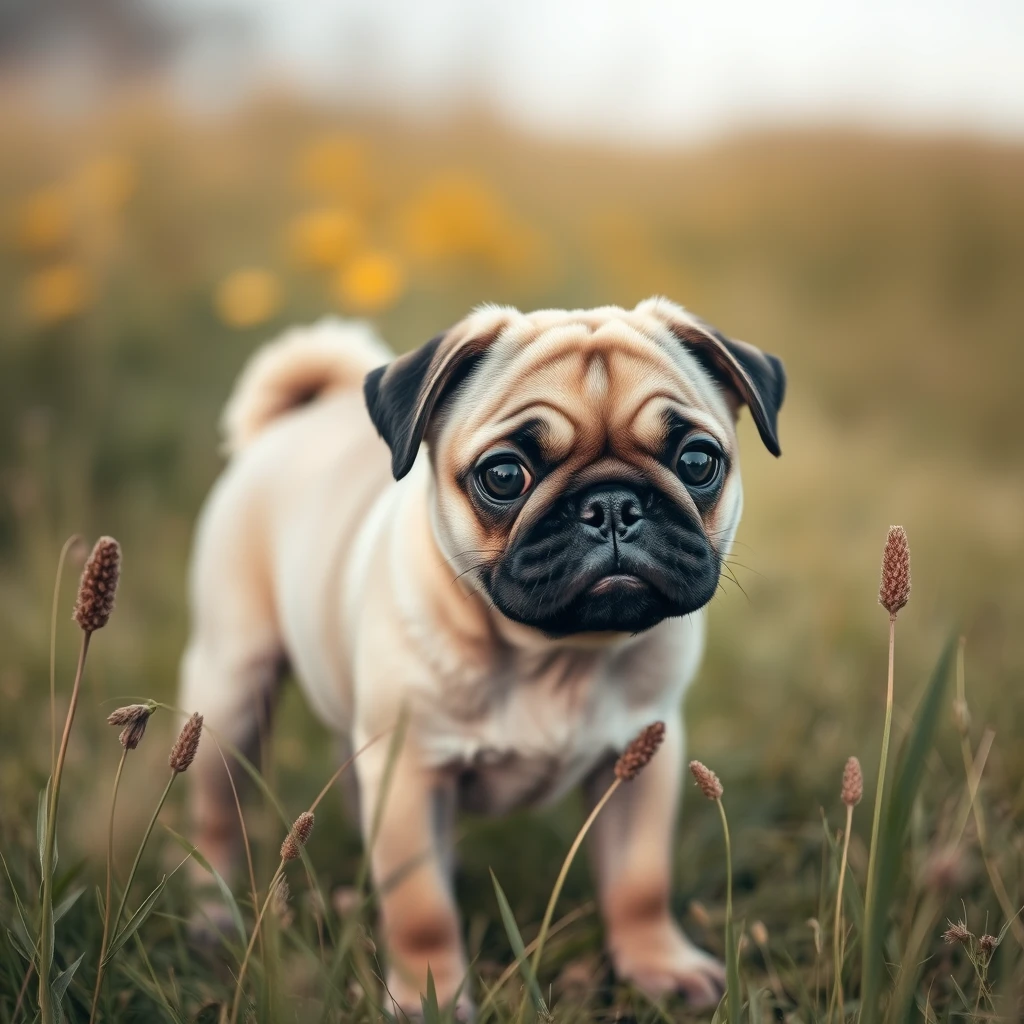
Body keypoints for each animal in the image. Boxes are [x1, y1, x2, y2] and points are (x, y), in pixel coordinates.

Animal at [180, 296, 782, 1015]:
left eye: (697, 462)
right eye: (503, 475)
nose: (612, 504)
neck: (557, 654)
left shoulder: (643, 758)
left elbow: (640, 881)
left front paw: (659, 965)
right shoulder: (409, 775)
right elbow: (420, 909)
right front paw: (429, 997)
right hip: (230, 696)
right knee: (218, 814)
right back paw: (212, 912)